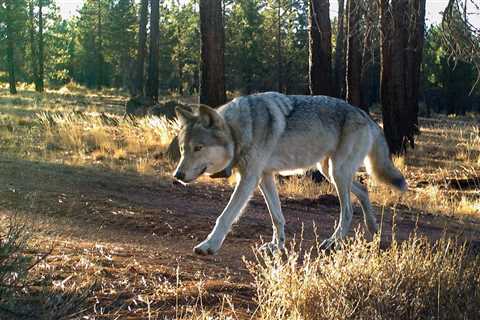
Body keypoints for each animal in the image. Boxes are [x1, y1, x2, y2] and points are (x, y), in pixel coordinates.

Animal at [172, 92, 404, 255]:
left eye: (198, 148)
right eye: (183, 149)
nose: (177, 175)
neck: (238, 131)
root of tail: (366, 115)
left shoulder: (249, 178)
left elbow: (226, 216)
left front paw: (208, 245)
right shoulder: (264, 177)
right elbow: (277, 216)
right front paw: (277, 246)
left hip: (337, 173)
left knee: (347, 211)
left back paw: (334, 242)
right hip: (330, 172)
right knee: (363, 190)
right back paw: (373, 230)